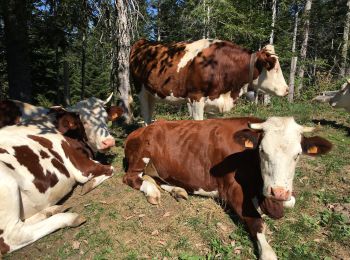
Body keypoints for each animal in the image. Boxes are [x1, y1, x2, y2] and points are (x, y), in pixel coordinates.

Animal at [124, 117, 332, 260]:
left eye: (297, 154)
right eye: (262, 151)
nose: (279, 192)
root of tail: (142, 128)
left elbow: (291, 202)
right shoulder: (230, 189)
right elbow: (256, 221)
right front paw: (267, 251)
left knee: (155, 177)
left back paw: (177, 190)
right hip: (140, 156)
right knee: (131, 177)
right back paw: (152, 192)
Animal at [130, 38, 288, 124]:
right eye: (272, 66)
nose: (287, 89)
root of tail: (143, 42)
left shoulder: (215, 101)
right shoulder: (196, 98)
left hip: (152, 93)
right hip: (141, 91)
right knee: (146, 116)